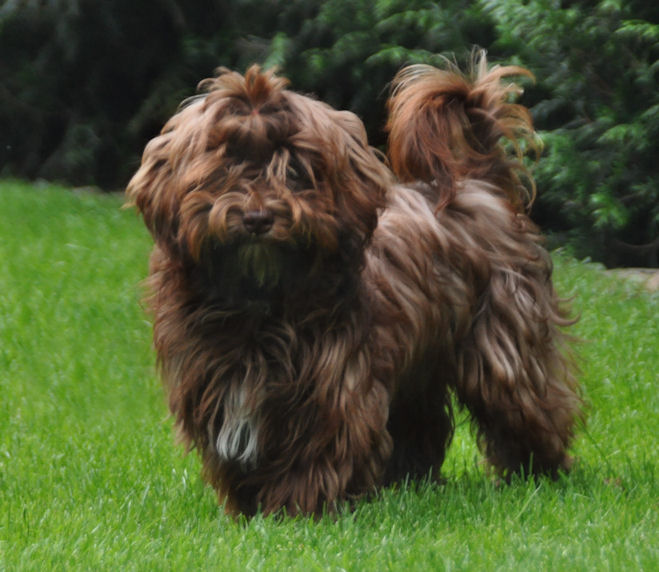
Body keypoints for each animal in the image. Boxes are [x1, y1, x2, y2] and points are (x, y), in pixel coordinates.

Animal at [127, 53, 584, 516]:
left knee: (526, 404)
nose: (257, 218)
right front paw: (247, 510)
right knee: (420, 423)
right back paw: (410, 482)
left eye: (295, 170)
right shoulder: (214, 380)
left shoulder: (333, 381)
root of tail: (480, 183)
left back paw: (538, 472)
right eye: (223, 166)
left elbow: (319, 446)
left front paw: (297, 508)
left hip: (504, 343)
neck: (260, 304)